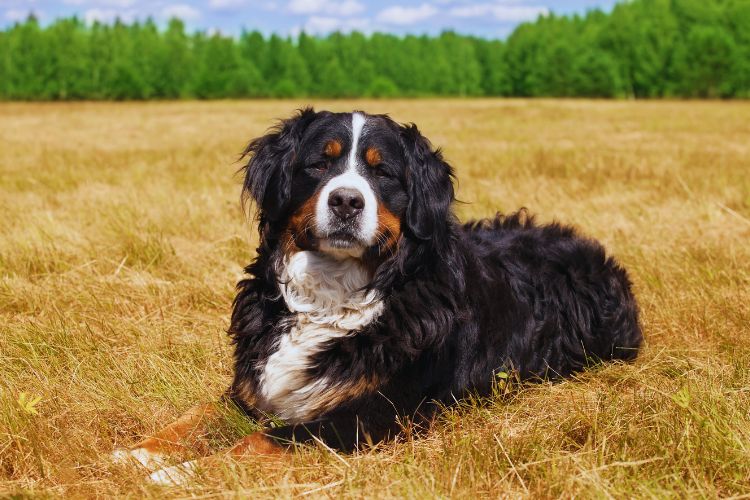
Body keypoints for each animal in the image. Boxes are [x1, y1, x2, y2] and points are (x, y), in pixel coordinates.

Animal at [114, 106, 644, 484]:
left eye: (382, 172)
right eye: (319, 164)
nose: (346, 200)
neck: (331, 295)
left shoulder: (364, 417)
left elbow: (258, 442)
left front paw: (182, 473)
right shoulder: (252, 387)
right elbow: (198, 415)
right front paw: (139, 452)